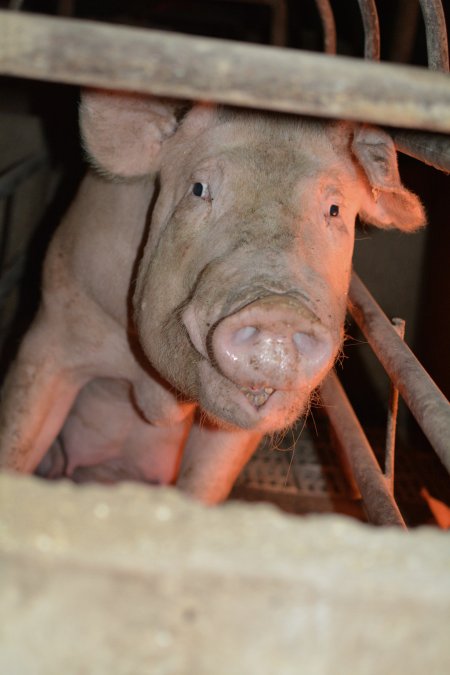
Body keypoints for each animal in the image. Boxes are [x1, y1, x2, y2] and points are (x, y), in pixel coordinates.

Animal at [0, 90, 426, 502]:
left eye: (334, 209)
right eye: (199, 189)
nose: (279, 311)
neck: (158, 394)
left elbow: (203, 484)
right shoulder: (57, 321)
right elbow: (17, 438)